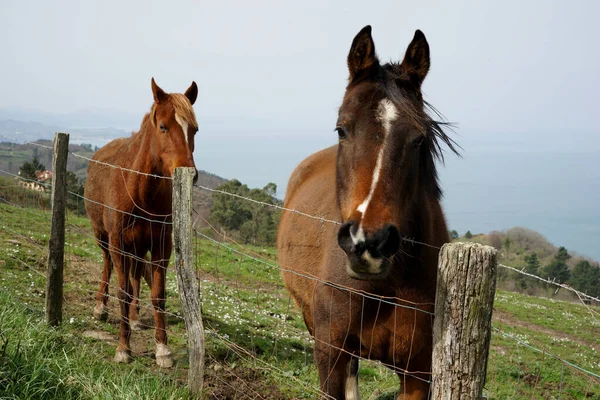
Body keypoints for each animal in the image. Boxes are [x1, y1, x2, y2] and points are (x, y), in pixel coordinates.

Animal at [83, 77, 199, 366]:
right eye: (163, 127)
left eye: (194, 129)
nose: (190, 174)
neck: (140, 190)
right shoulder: (118, 242)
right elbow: (122, 291)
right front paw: (123, 348)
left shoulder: (160, 245)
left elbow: (157, 294)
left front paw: (163, 349)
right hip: (103, 237)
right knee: (108, 265)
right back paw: (100, 307)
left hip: (137, 246)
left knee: (135, 275)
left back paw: (135, 317)